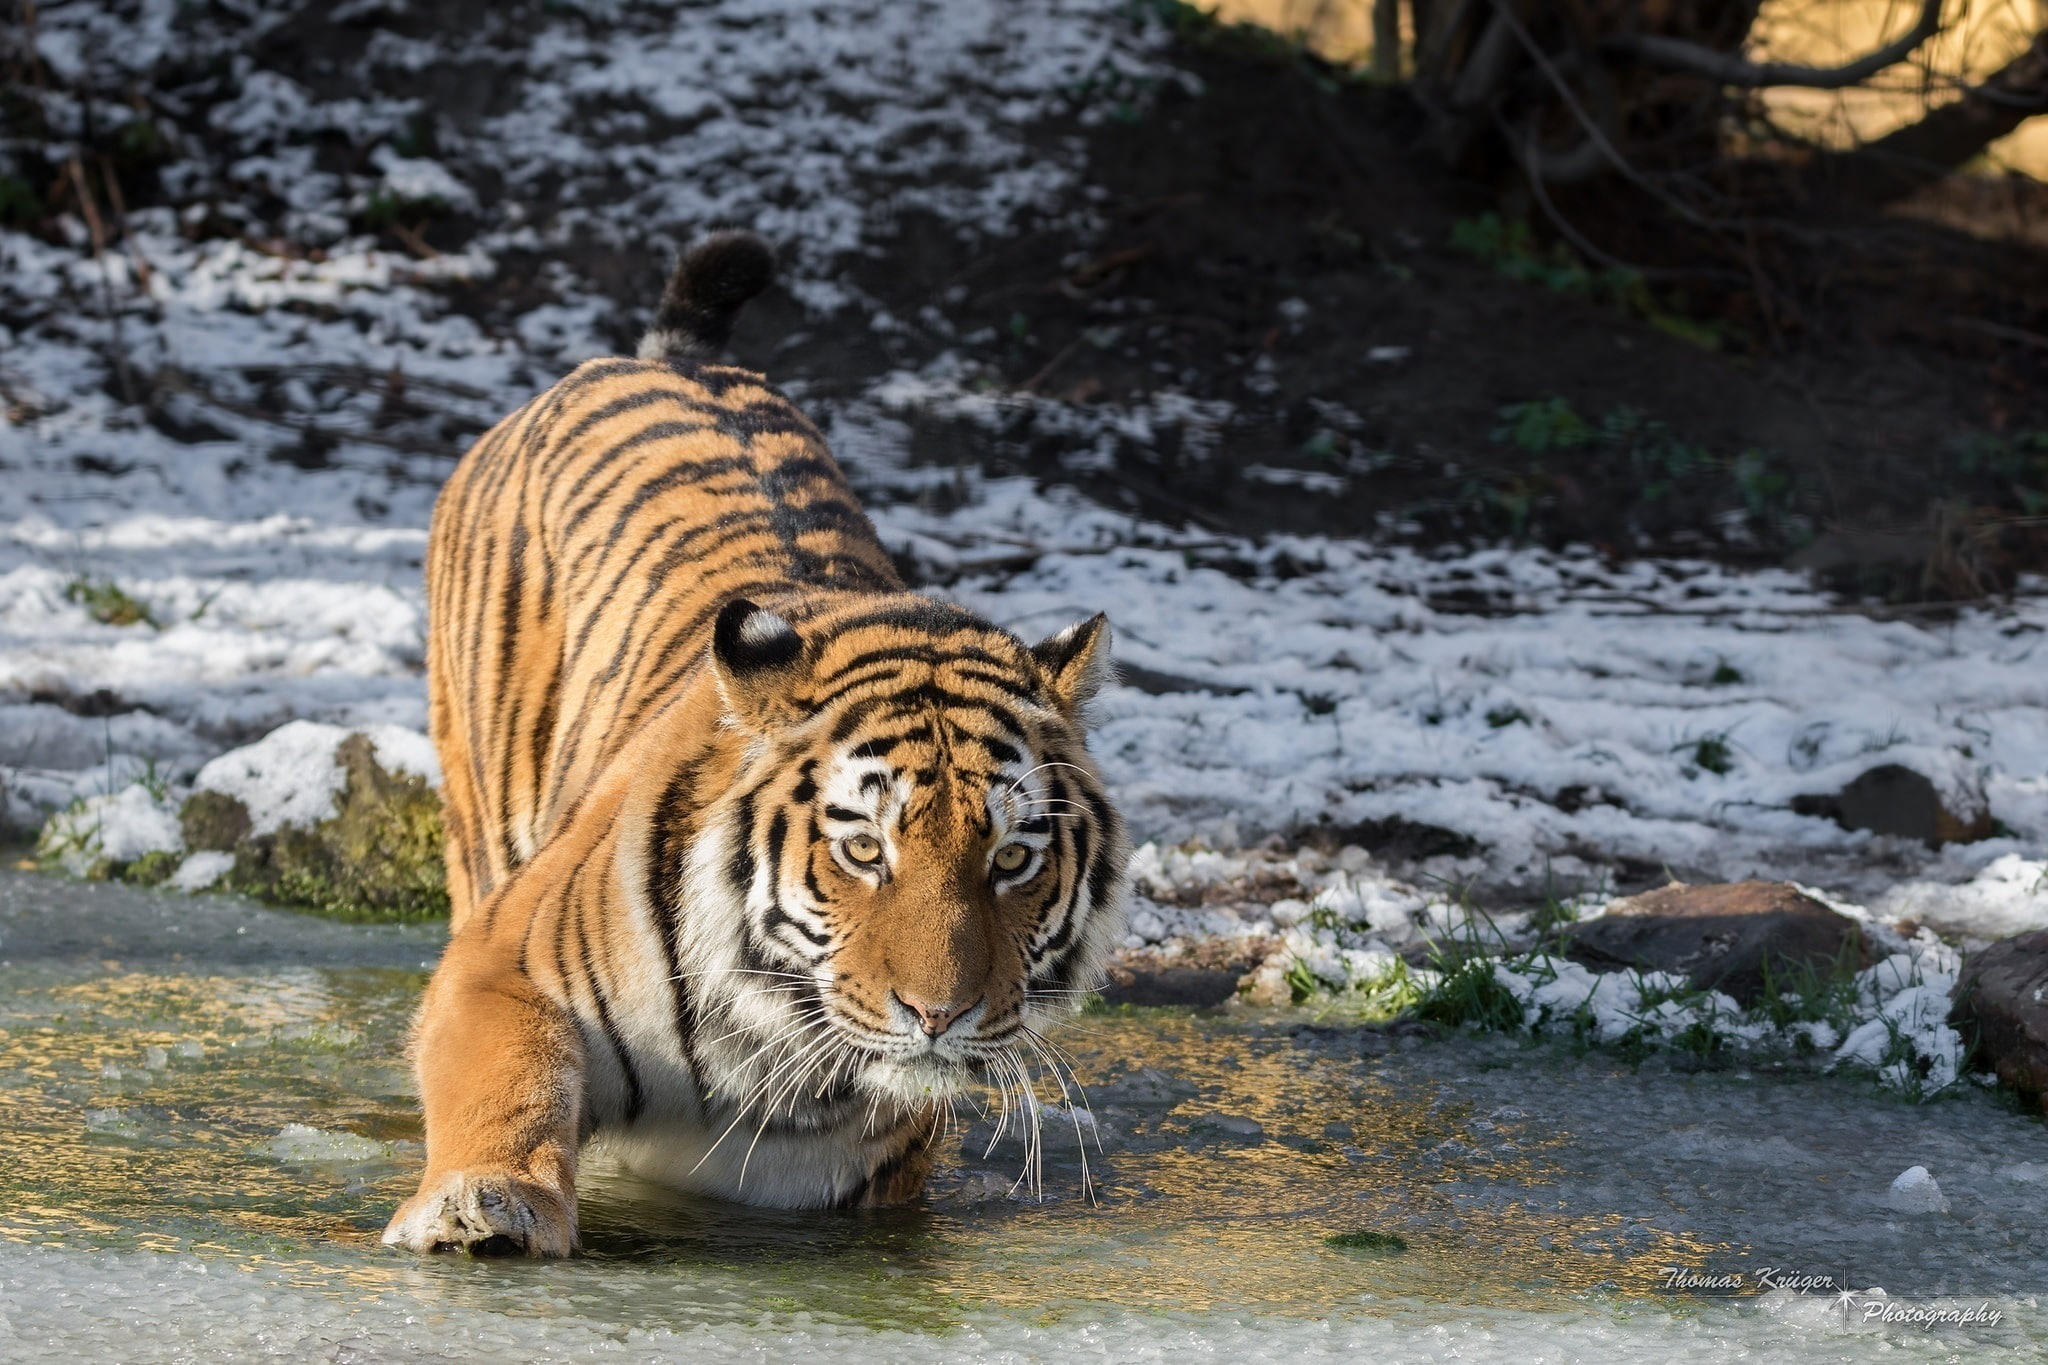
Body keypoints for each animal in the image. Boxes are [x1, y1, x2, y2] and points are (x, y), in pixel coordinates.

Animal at [381, 231, 1130, 1257]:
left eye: (1013, 859)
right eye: (865, 849)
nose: (940, 1016)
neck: (766, 1036)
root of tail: (666, 361)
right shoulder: (501, 964)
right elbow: (509, 1084)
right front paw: (483, 1205)